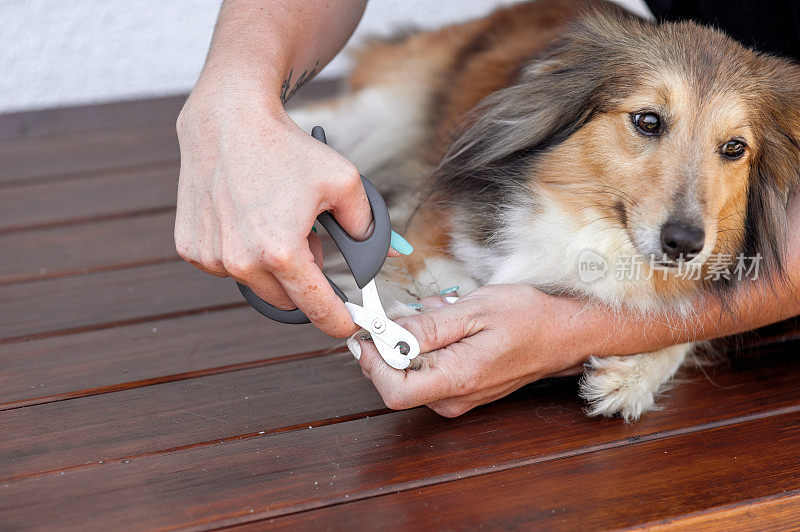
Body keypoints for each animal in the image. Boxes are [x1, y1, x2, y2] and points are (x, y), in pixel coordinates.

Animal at [290, 0, 800, 420]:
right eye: (647, 120)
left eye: (734, 148)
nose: (685, 244)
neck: (595, 228)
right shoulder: (429, 234)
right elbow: (447, 281)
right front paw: (416, 334)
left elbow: (680, 319)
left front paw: (629, 380)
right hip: (383, 109)